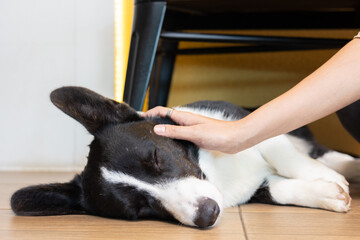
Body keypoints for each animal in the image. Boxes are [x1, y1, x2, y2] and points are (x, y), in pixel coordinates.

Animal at [11, 87, 358, 228]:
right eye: (139, 210)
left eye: (156, 156)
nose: (208, 215)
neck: (213, 171)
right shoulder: (259, 186)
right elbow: (278, 189)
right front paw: (326, 194)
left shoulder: (247, 126)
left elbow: (284, 155)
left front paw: (329, 180)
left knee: (323, 153)